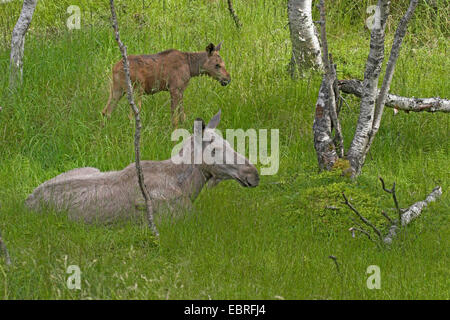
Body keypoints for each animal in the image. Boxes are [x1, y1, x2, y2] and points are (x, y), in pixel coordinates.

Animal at [102, 42, 232, 126]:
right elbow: (174, 117)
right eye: (217, 65)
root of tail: (114, 68)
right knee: (131, 115)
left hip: (116, 89)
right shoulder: (174, 88)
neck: (192, 68)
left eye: (224, 63)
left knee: (106, 111)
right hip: (136, 89)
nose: (228, 79)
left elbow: (182, 115)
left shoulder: (180, 90)